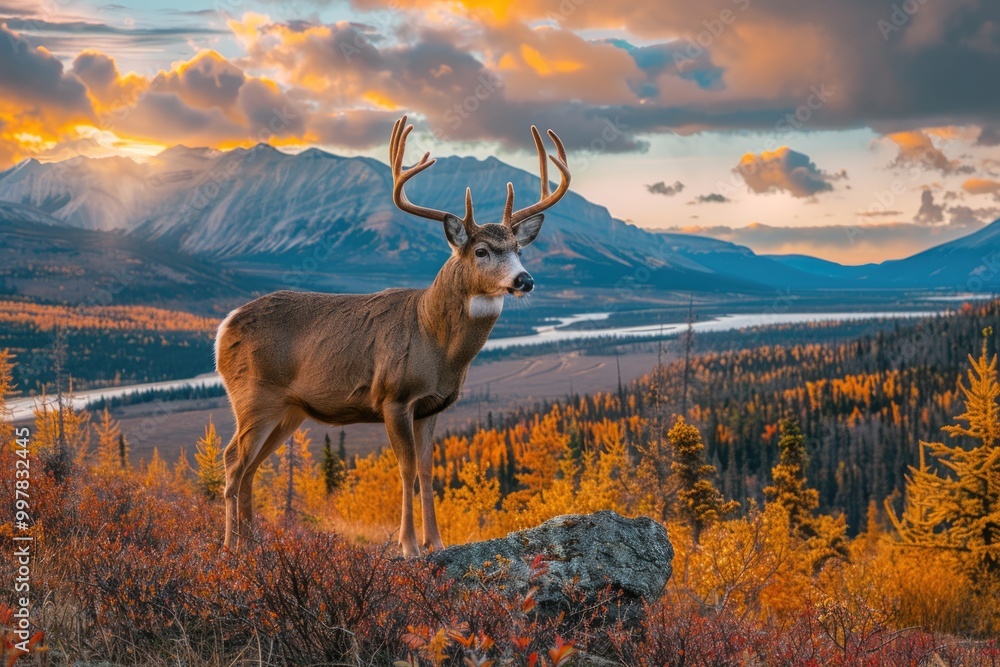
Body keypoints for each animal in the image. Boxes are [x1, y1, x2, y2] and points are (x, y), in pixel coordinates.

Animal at [216, 115, 571, 556]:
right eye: (482, 251)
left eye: (519, 250)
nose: (525, 280)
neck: (437, 345)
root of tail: (223, 327)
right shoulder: (393, 397)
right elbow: (406, 469)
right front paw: (409, 545)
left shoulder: (434, 406)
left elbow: (428, 469)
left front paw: (436, 541)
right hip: (253, 396)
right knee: (232, 460)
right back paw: (230, 547)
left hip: (288, 410)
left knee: (251, 467)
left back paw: (254, 545)